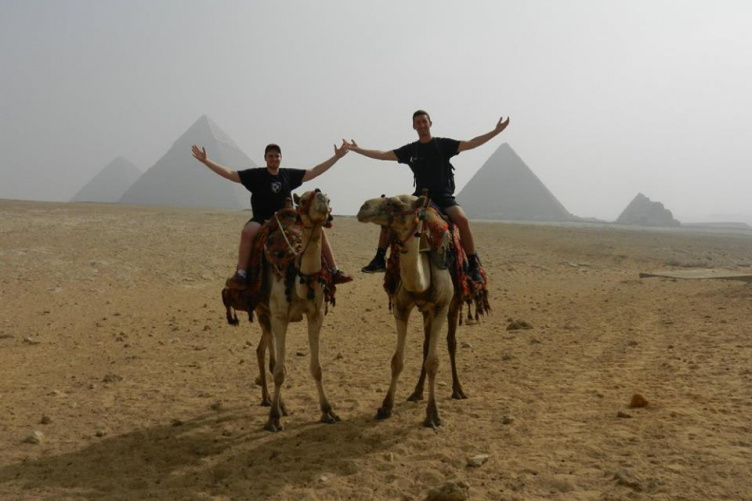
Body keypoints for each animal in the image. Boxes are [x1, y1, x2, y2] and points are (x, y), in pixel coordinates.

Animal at [220, 188, 338, 430]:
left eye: (328, 197)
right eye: (303, 200)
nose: (321, 198)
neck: (296, 272)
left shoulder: (316, 315)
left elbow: (317, 368)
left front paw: (327, 411)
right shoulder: (280, 316)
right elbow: (280, 371)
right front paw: (273, 418)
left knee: (262, 349)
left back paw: (272, 400)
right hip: (263, 312)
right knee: (268, 355)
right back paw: (274, 404)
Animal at [356, 192, 476, 426]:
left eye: (396, 204)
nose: (363, 207)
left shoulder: (441, 307)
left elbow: (434, 361)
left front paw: (433, 415)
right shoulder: (401, 308)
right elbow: (397, 361)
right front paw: (385, 407)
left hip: (453, 305)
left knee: (451, 343)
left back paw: (458, 390)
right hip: (426, 311)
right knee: (426, 345)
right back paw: (416, 392)